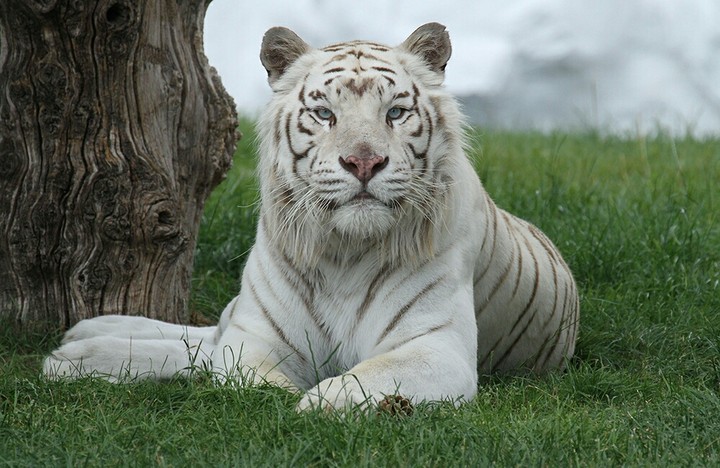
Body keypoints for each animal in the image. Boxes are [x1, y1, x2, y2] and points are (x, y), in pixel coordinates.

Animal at [43, 23, 579, 411]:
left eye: (396, 112)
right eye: (324, 114)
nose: (363, 162)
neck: (346, 252)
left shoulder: (436, 349)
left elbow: (360, 380)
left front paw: (314, 404)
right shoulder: (256, 339)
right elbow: (245, 379)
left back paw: (70, 355)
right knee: (206, 339)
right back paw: (81, 342)